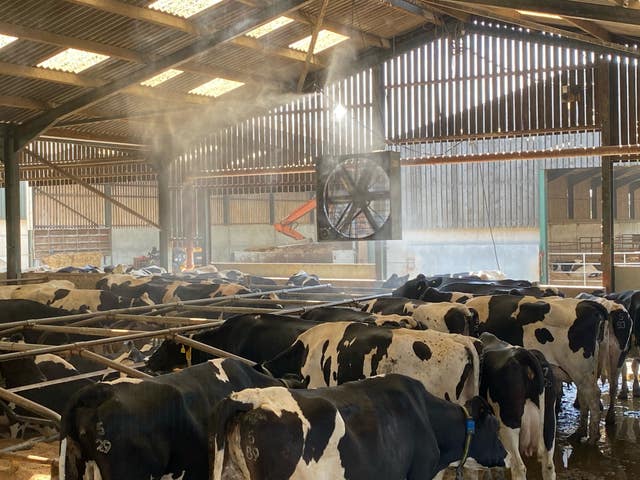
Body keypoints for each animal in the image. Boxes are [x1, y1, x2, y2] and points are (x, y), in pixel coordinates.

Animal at [464, 294, 604, 444]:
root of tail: (587, 304)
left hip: (580, 370)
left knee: (593, 396)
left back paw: (592, 438)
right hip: (583, 373)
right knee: (584, 397)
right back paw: (580, 433)